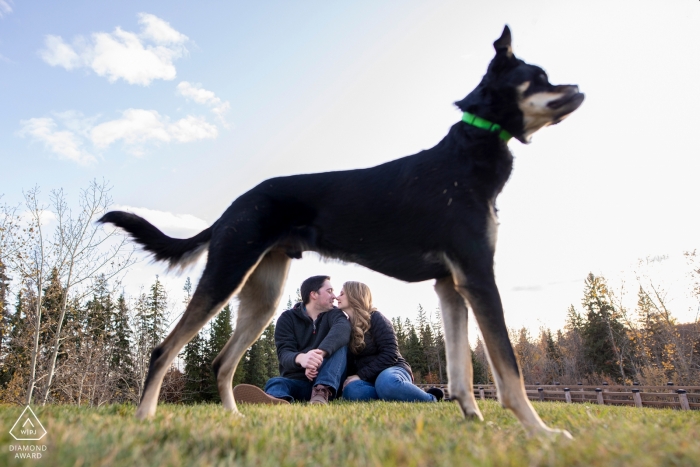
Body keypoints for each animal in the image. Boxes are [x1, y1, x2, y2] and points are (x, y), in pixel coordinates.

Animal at [98, 24, 580, 436]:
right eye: (539, 77)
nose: (577, 89)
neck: (470, 153)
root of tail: (234, 206)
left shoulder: (450, 285)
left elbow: (461, 370)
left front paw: (474, 420)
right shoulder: (478, 275)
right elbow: (509, 370)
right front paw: (540, 431)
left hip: (263, 295)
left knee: (221, 362)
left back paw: (234, 418)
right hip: (225, 275)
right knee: (163, 350)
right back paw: (144, 420)